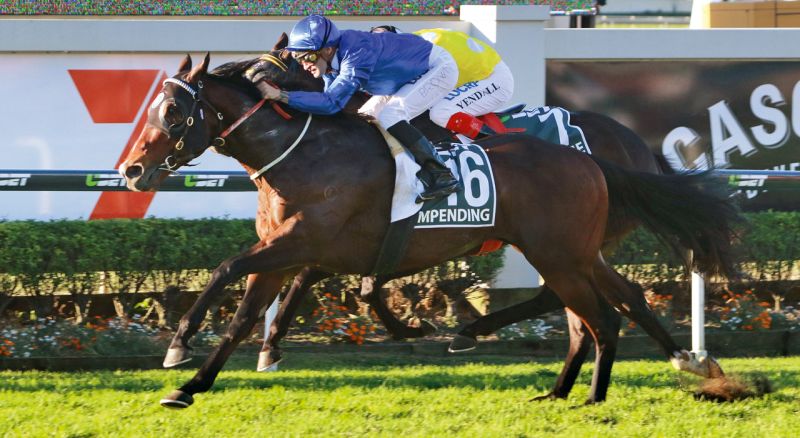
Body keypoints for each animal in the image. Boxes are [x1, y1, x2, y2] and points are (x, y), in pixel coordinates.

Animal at [119, 48, 738, 408]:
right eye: (151, 109)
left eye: (172, 113)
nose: (132, 171)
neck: (305, 150)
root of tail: (608, 157)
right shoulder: (287, 250)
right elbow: (246, 315)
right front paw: (191, 382)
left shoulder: (303, 242)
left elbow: (229, 269)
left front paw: (179, 344)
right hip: (578, 252)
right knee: (607, 303)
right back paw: (665, 368)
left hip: (563, 253)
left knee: (589, 310)